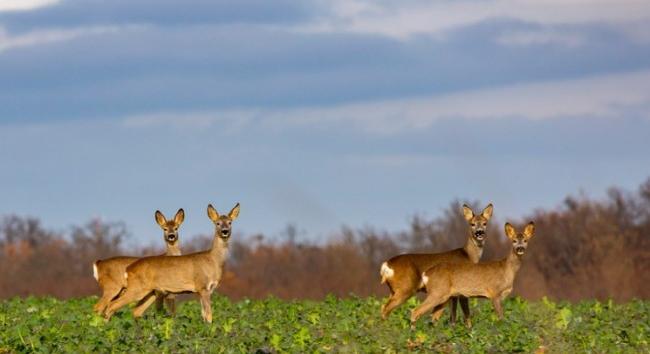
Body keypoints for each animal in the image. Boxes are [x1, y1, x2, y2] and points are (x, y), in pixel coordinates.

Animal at [104, 202, 238, 324]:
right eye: (218, 223)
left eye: (230, 222)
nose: (225, 231)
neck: (213, 260)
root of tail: (128, 269)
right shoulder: (203, 286)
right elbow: (209, 316)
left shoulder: (204, 290)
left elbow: (204, 315)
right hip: (136, 288)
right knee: (111, 305)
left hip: (150, 292)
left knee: (136, 311)